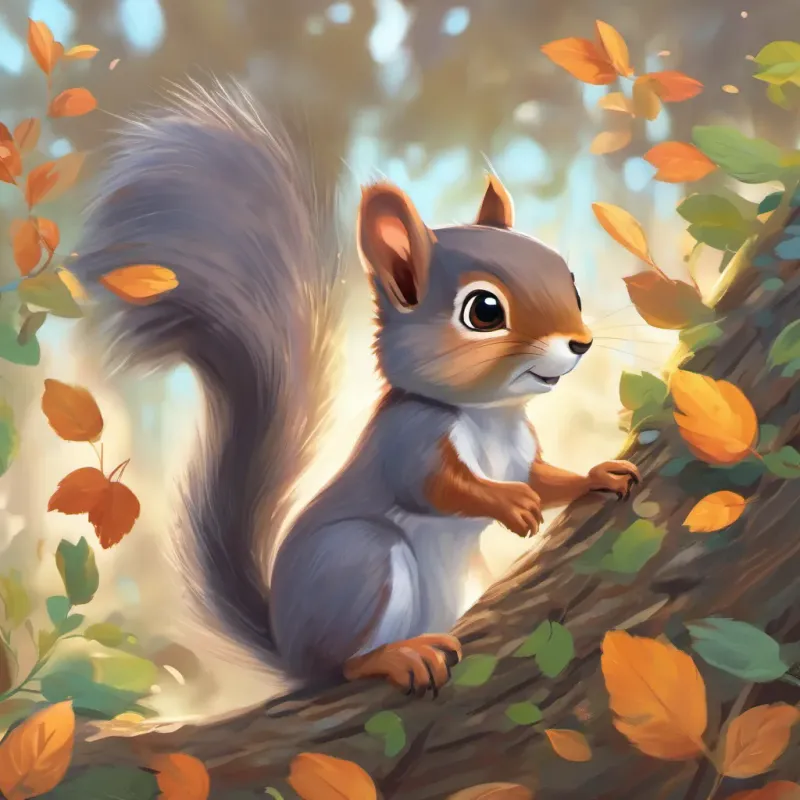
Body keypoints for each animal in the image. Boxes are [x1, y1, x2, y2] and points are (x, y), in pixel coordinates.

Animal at [71, 79, 640, 697]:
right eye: (484, 311)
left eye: (572, 284)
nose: (581, 343)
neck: (489, 415)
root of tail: (288, 650)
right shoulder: (409, 438)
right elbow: (435, 487)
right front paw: (507, 502)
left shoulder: (522, 452)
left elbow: (547, 477)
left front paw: (596, 475)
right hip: (359, 562)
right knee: (339, 663)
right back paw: (396, 656)